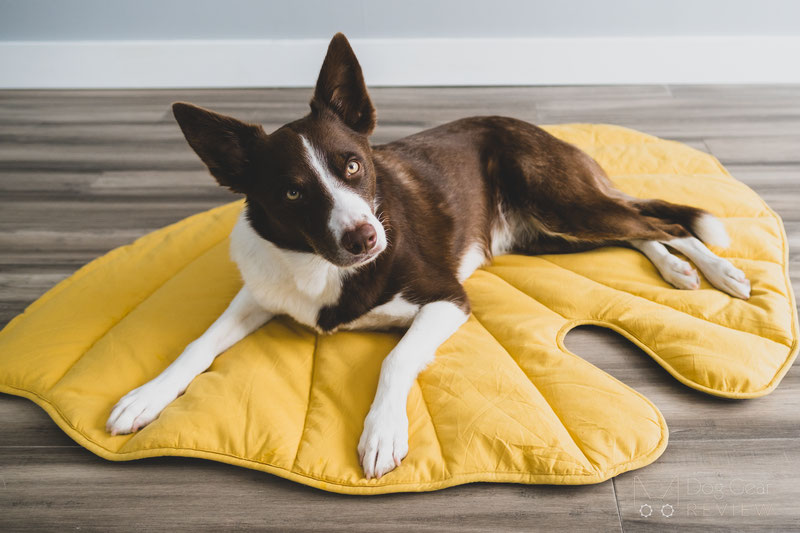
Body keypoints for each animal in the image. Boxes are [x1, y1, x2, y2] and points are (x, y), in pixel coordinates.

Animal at [106, 32, 752, 478]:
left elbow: (396, 359)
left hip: (559, 203)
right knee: (637, 229)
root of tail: (540, 130)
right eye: (292, 192)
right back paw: (676, 266)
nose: (365, 239)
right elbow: (197, 344)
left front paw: (382, 433)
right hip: (549, 230)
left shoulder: (448, 298)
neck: (324, 268)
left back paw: (716, 268)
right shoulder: (261, 292)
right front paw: (146, 396)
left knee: (661, 219)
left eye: (353, 166)